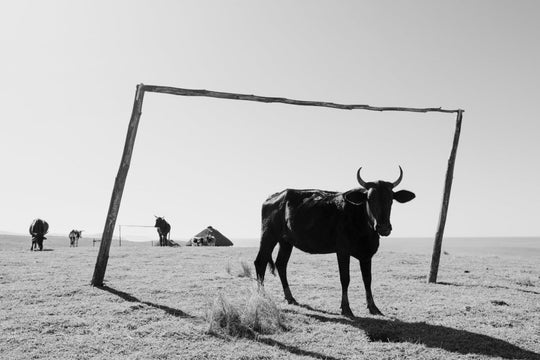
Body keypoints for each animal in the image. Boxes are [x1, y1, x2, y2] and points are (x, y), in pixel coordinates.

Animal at [255, 167, 416, 316]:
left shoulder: (367, 254)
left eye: (391, 199)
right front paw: (346, 308)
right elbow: (345, 278)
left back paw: (290, 297)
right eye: (370, 199)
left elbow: (367, 279)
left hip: (286, 242)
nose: (383, 227)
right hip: (268, 235)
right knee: (260, 262)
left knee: (281, 264)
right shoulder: (342, 251)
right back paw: (261, 296)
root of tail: (274, 197)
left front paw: (373, 307)